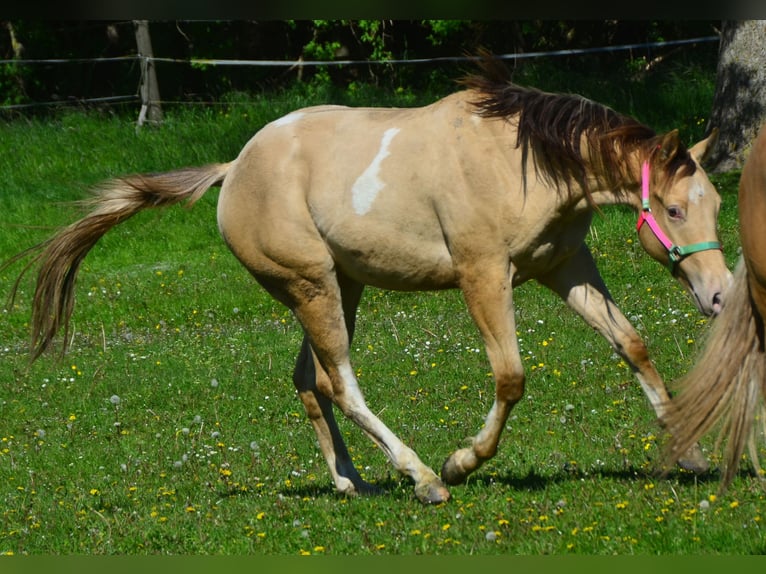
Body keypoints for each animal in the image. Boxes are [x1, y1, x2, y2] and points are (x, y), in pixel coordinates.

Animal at [4, 58, 732, 504]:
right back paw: (421, 478)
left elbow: (631, 343)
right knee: (338, 382)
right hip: (313, 288)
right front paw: (462, 461)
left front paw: (690, 452)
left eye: (716, 204)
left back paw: (353, 482)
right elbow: (511, 377)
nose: (721, 293)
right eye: (673, 210)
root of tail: (233, 169)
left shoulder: (563, 266)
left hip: (339, 288)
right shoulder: (483, 275)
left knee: (308, 381)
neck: (521, 161)